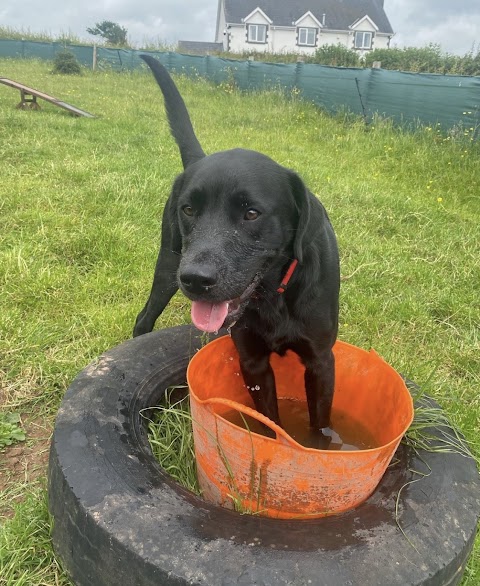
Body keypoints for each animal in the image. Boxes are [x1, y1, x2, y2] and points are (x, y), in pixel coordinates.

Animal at [133, 56, 340, 434]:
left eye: (251, 213)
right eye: (189, 209)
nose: (197, 279)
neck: (274, 294)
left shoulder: (320, 362)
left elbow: (320, 426)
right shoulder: (252, 360)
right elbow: (267, 420)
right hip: (168, 266)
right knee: (145, 317)